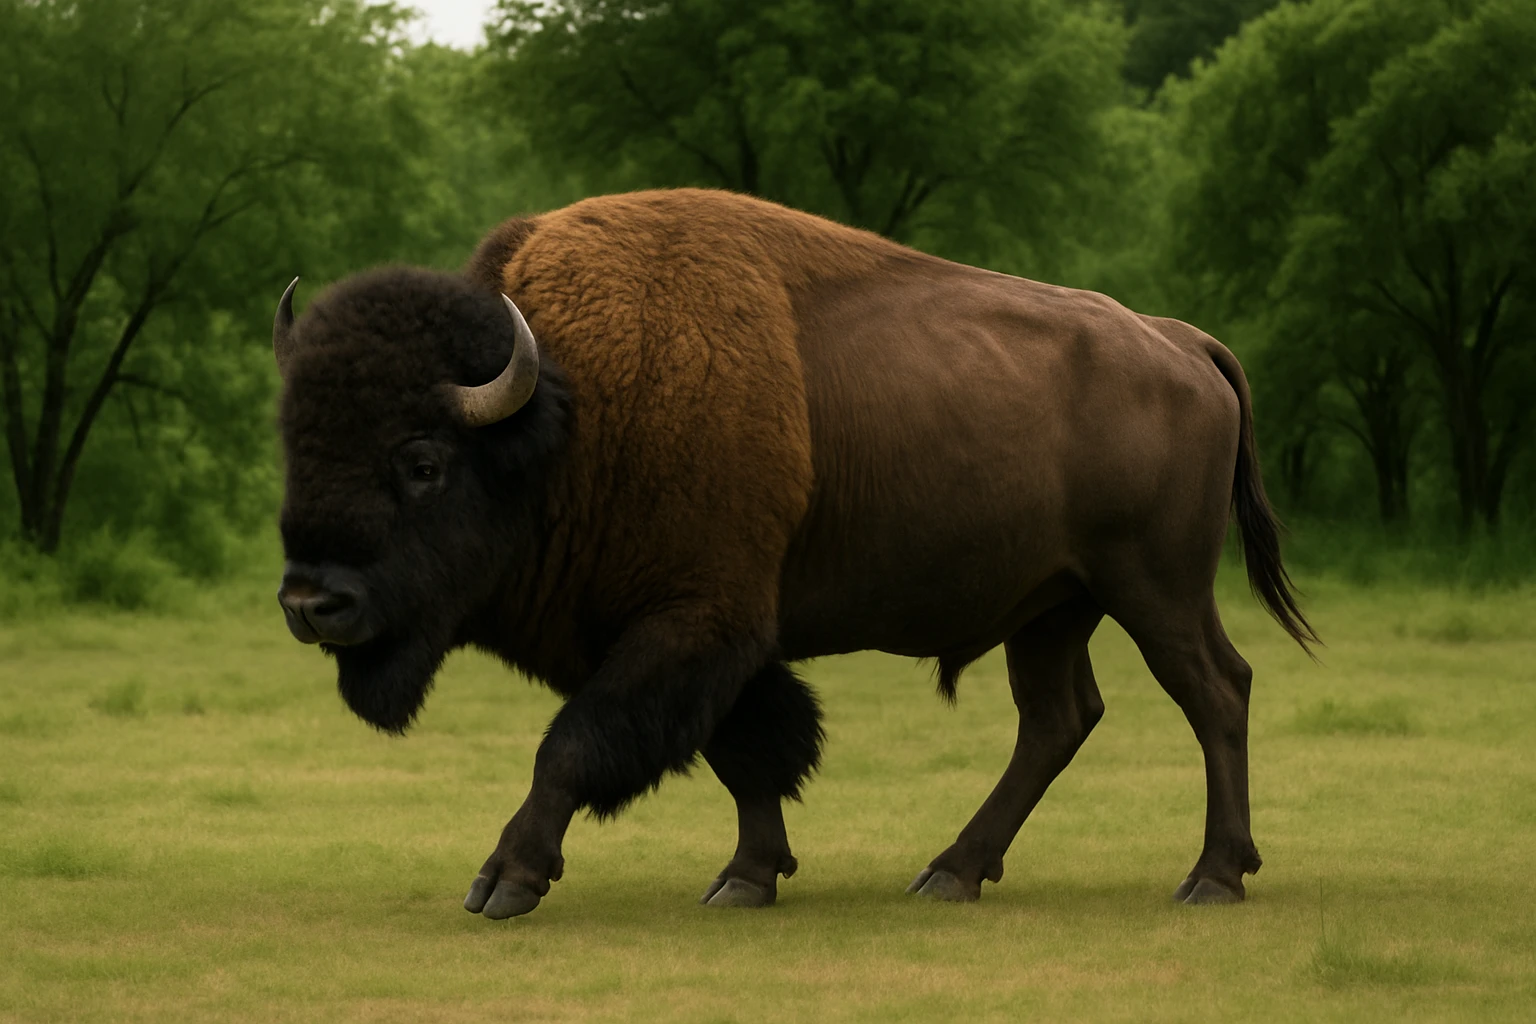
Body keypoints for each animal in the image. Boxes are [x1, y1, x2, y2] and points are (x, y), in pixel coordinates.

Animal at [273, 188, 1316, 919]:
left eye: (422, 462)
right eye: (294, 443)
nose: (311, 605)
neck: (567, 417)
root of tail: (1180, 341)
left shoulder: (692, 625)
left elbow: (576, 745)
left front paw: (504, 881)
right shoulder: (709, 640)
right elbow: (749, 751)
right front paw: (748, 876)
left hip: (1155, 588)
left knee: (1215, 691)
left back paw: (1212, 877)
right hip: (1054, 605)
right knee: (1059, 719)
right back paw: (951, 872)